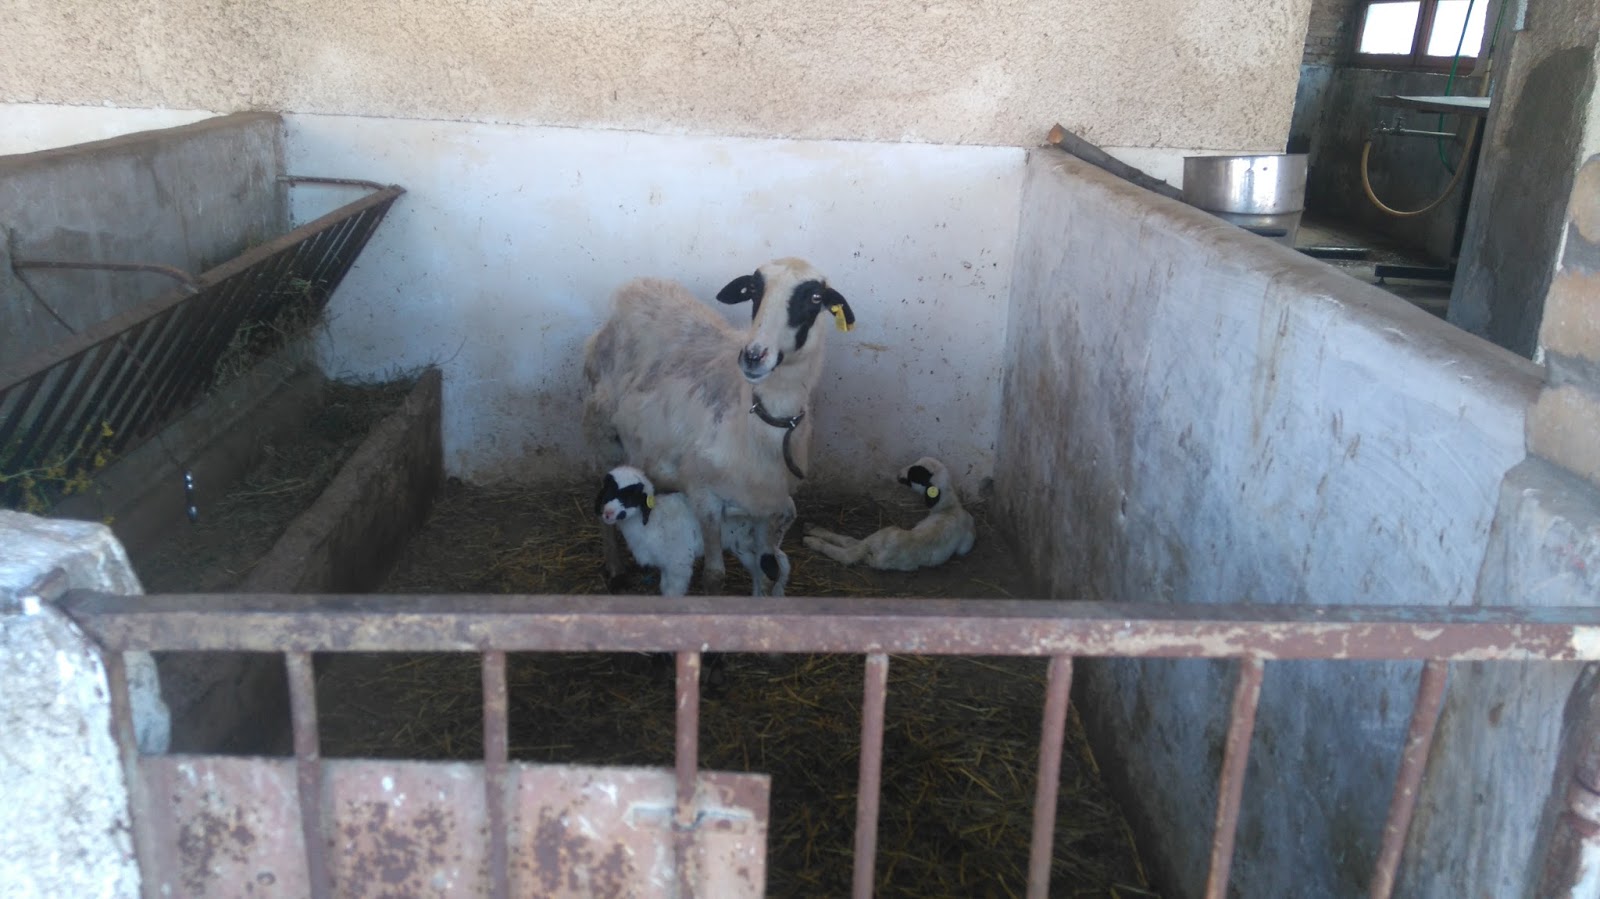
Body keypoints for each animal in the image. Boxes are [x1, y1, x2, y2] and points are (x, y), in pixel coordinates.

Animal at [595, 465, 791, 596]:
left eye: (631, 496)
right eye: (608, 490)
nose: (608, 513)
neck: (652, 522)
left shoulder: (678, 563)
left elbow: (672, 593)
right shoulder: (667, 565)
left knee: (776, 565)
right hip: (742, 544)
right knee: (767, 567)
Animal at [802, 457, 976, 570]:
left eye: (915, 474)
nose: (898, 474)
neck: (949, 508)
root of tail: (886, 552)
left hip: (879, 536)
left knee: (848, 551)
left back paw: (811, 538)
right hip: (873, 547)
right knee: (852, 546)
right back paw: (811, 529)